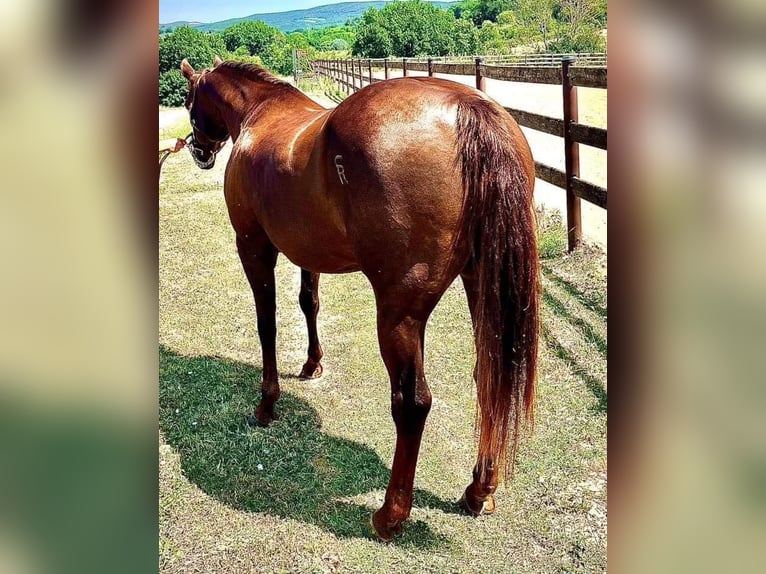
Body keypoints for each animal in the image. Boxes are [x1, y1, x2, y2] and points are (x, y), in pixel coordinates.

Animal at [180, 56, 540, 544]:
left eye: (189, 101)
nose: (199, 151)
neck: (260, 115)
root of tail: (469, 108)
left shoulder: (253, 246)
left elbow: (266, 322)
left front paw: (266, 405)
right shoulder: (305, 252)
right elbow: (308, 302)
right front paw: (312, 364)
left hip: (398, 313)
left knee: (412, 402)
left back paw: (390, 516)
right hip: (482, 287)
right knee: (489, 376)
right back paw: (479, 490)